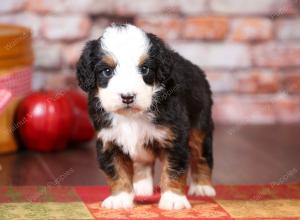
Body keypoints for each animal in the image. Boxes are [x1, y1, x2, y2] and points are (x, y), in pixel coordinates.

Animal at [76, 23, 214, 210]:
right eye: (107, 71)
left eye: (144, 69)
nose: (127, 97)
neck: (131, 116)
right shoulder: (109, 140)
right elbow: (117, 171)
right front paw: (120, 198)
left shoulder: (175, 137)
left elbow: (173, 169)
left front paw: (173, 199)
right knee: (143, 161)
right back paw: (141, 187)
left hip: (200, 125)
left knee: (202, 156)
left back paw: (202, 187)